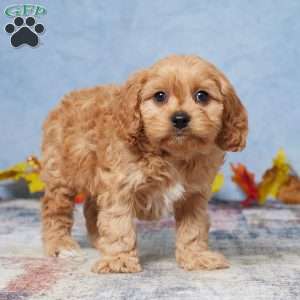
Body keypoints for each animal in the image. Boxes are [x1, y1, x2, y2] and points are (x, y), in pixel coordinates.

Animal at [41, 55, 248, 274]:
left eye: (202, 96)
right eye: (159, 96)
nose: (180, 118)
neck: (171, 154)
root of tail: (67, 100)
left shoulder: (194, 197)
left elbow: (193, 229)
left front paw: (196, 257)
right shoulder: (120, 190)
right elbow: (119, 226)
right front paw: (119, 260)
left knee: (90, 208)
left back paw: (99, 242)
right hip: (61, 174)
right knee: (55, 210)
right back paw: (61, 245)